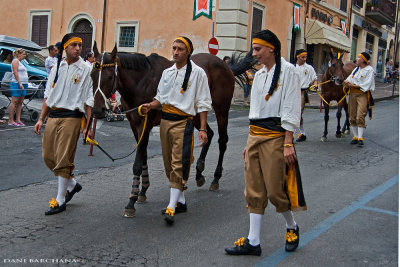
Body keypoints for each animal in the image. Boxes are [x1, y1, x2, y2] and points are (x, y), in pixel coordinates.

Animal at [91, 42, 253, 218]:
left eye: (109, 77)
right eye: (92, 75)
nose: (97, 110)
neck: (141, 81)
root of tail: (225, 65)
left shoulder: (145, 124)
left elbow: (138, 161)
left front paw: (132, 200)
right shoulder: (135, 125)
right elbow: (143, 156)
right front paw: (143, 190)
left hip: (221, 109)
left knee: (222, 140)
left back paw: (216, 178)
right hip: (196, 114)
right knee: (208, 134)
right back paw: (199, 172)